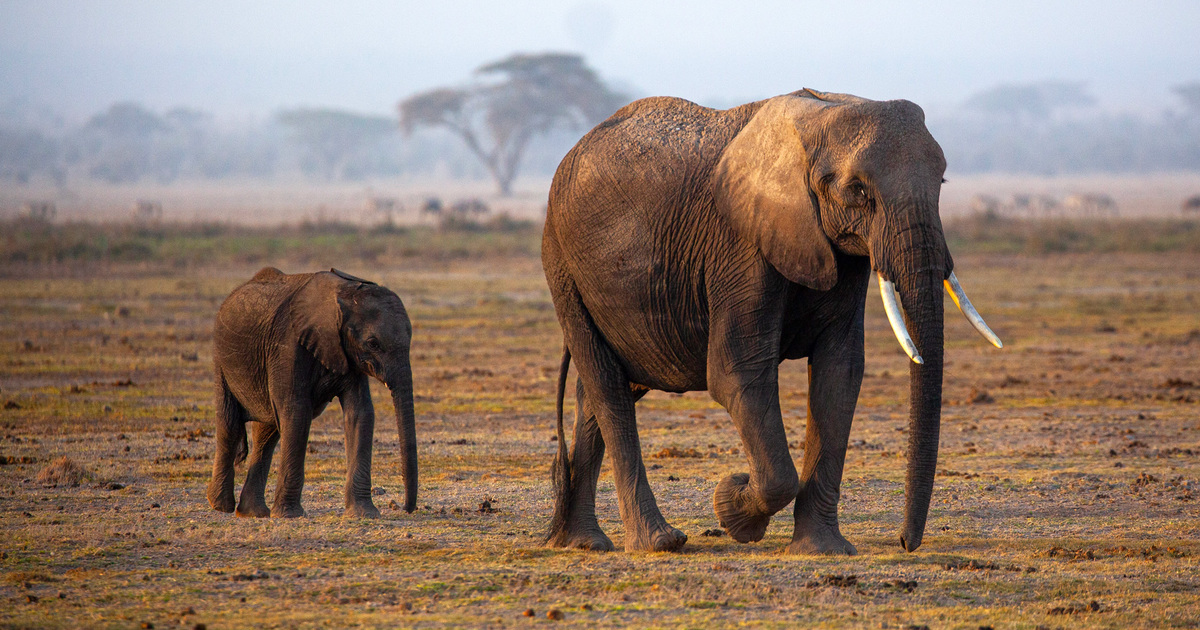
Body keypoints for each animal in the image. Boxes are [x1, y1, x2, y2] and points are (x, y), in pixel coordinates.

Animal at [204, 265, 415, 516]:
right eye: (373, 343)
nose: (404, 508)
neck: (344, 294)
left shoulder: (348, 355)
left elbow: (360, 413)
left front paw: (364, 513)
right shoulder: (287, 346)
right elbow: (297, 413)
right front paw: (289, 515)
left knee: (267, 431)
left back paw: (253, 513)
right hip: (221, 360)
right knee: (229, 425)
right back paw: (220, 505)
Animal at [544, 89, 1003, 554]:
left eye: (942, 183)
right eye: (857, 190)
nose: (905, 542)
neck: (820, 115)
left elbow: (840, 373)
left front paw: (822, 550)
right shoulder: (738, 244)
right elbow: (737, 372)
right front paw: (732, 506)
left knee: (600, 392)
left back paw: (582, 542)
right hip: (562, 264)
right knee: (607, 388)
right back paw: (659, 542)